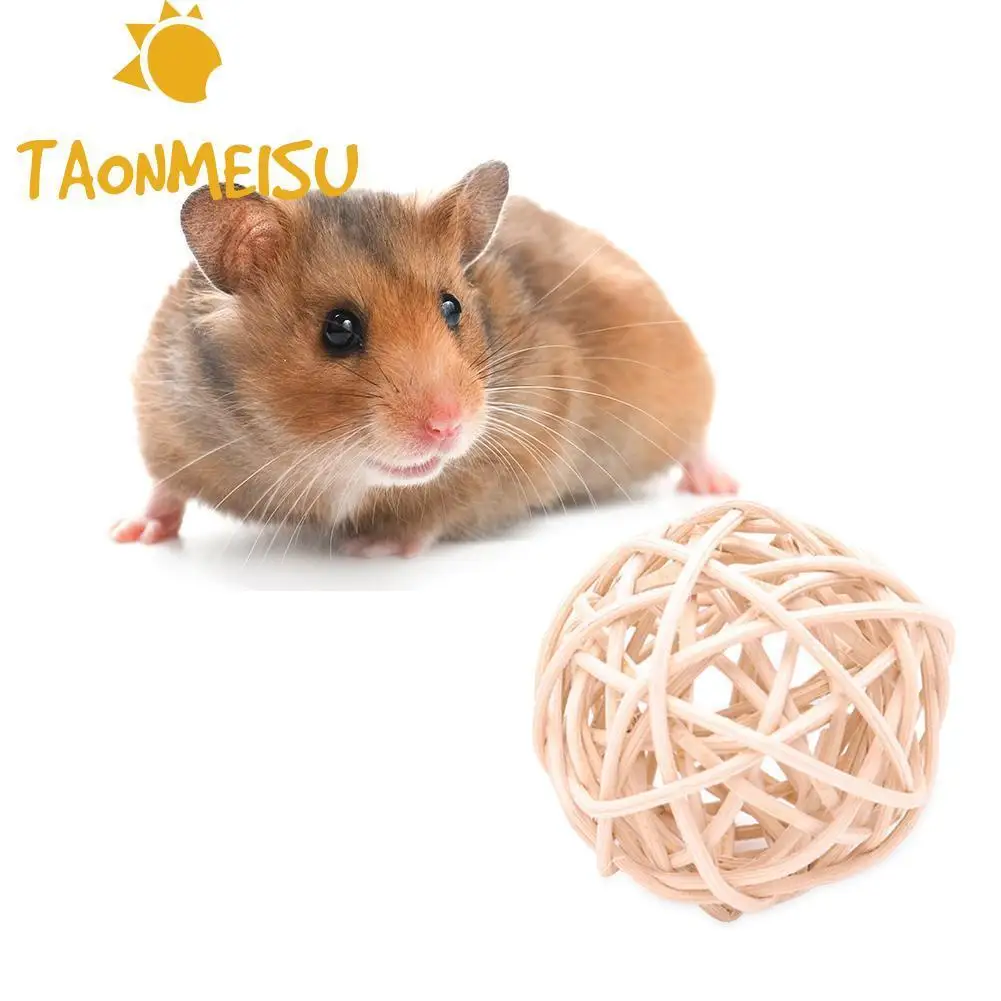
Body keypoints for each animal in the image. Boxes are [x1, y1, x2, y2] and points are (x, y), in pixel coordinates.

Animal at [111, 161, 737, 556]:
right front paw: (127, 533)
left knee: (696, 439)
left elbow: (431, 514)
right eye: (338, 330)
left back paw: (718, 487)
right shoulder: (167, 419)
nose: (449, 426)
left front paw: (372, 547)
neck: (320, 463)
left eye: (452, 306)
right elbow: (164, 488)